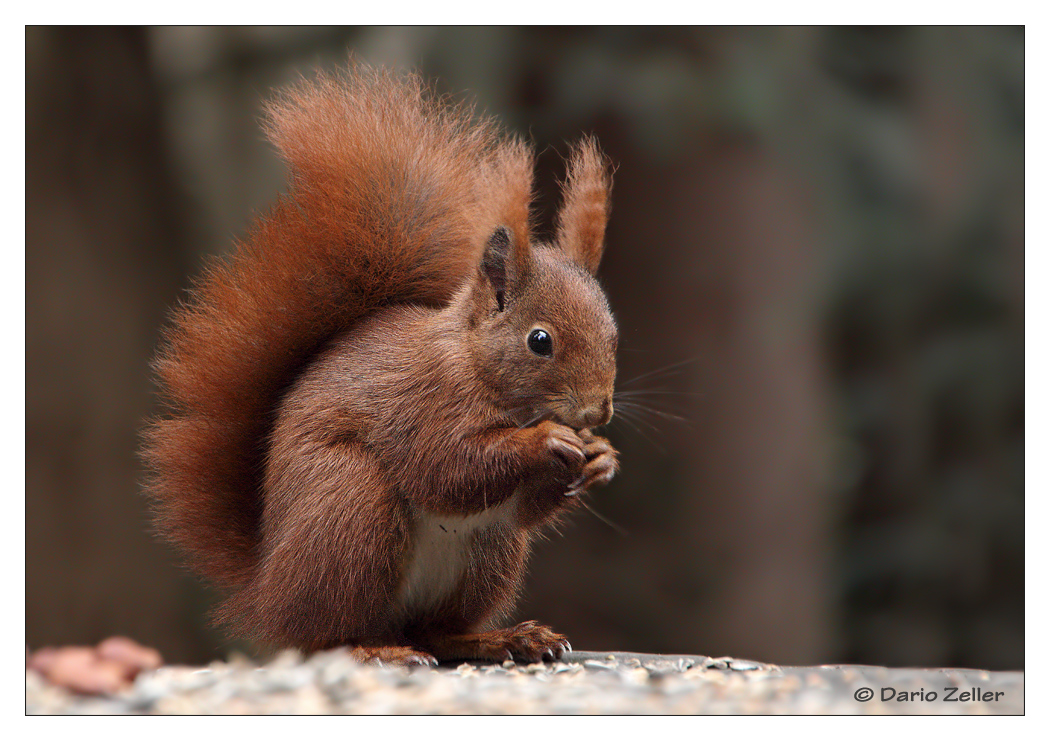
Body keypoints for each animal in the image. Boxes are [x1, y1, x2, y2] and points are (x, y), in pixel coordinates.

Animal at [141, 65, 613, 663]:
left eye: (614, 330)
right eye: (540, 341)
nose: (597, 413)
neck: (473, 364)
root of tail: (266, 591)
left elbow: (522, 507)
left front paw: (600, 457)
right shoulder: (422, 401)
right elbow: (446, 468)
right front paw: (547, 440)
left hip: (489, 554)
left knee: (436, 629)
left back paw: (504, 637)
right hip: (352, 508)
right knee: (329, 635)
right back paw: (376, 651)